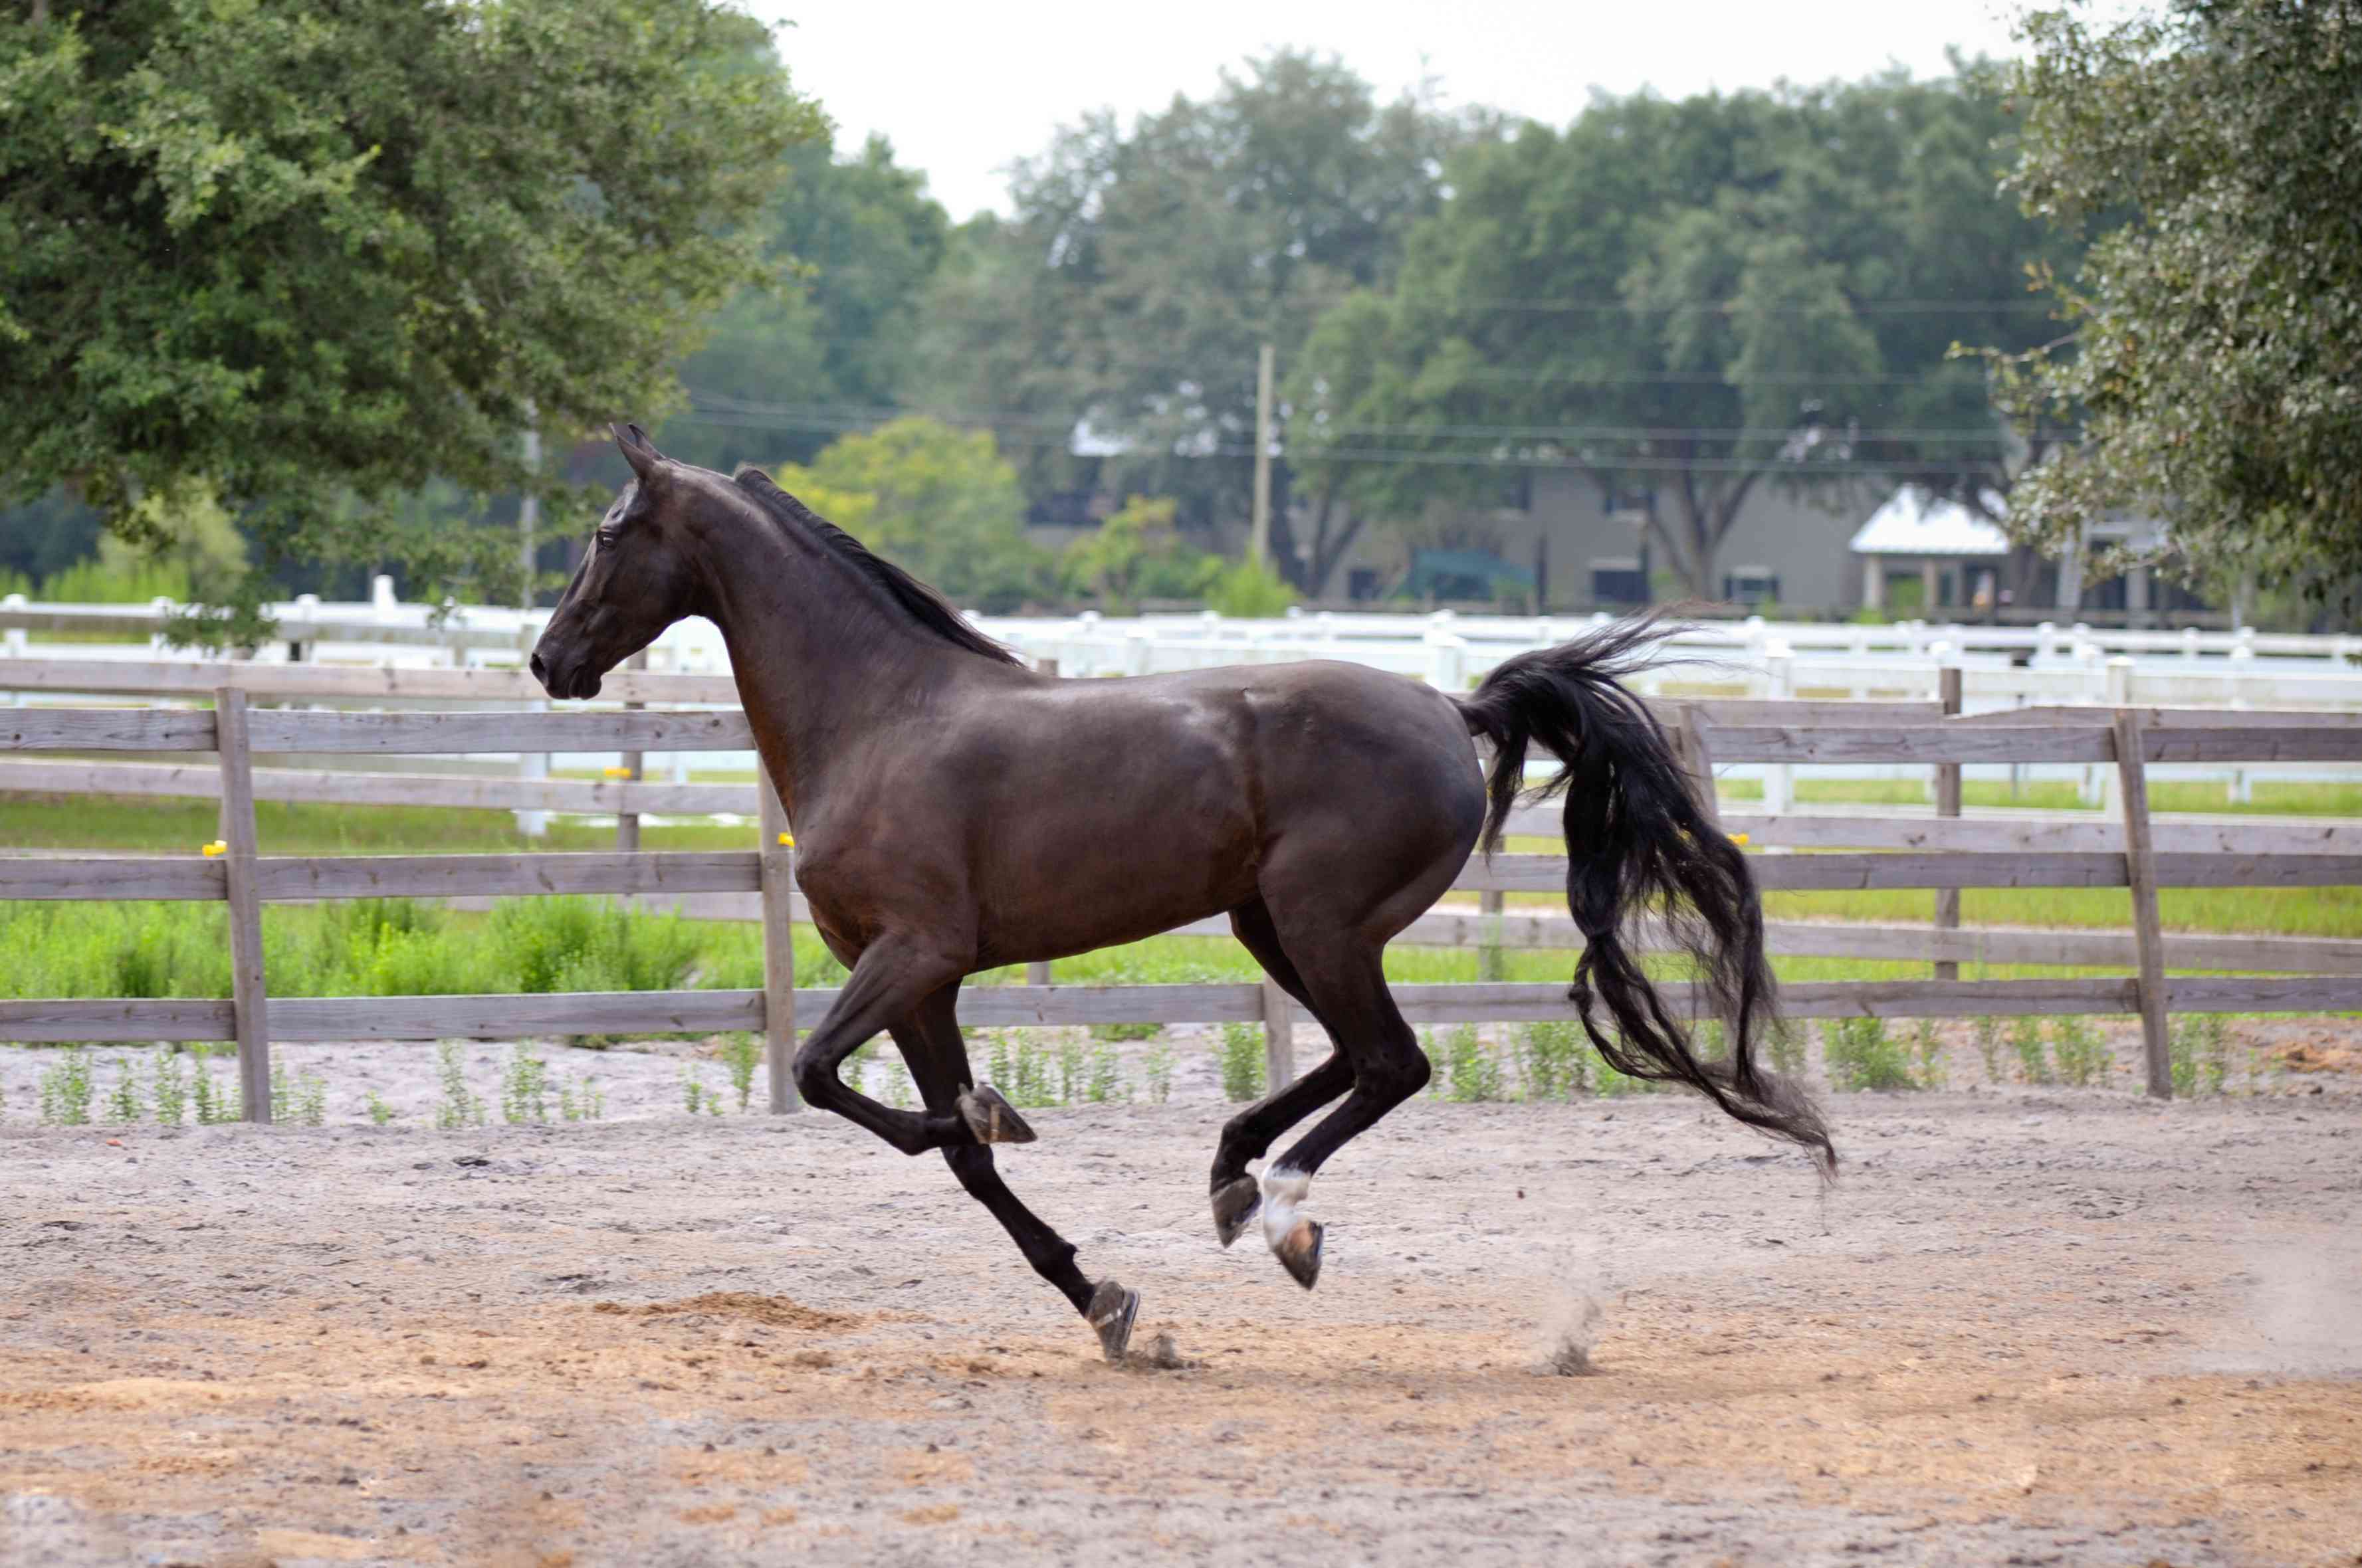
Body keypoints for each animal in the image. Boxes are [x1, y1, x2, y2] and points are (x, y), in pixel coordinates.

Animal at [536, 425, 1823, 1360]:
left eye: (604, 530)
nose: (550, 661)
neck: (878, 717)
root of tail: (1448, 707)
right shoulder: (916, 985)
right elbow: (954, 1155)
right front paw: (1101, 1298)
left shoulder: (912, 954)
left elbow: (824, 1080)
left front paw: (1009, 1130)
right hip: (1272, 926)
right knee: (1354, 1060)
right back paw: (1230, 1179)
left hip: (1316, 922)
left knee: (1390, 1064)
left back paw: (1284, 1213)